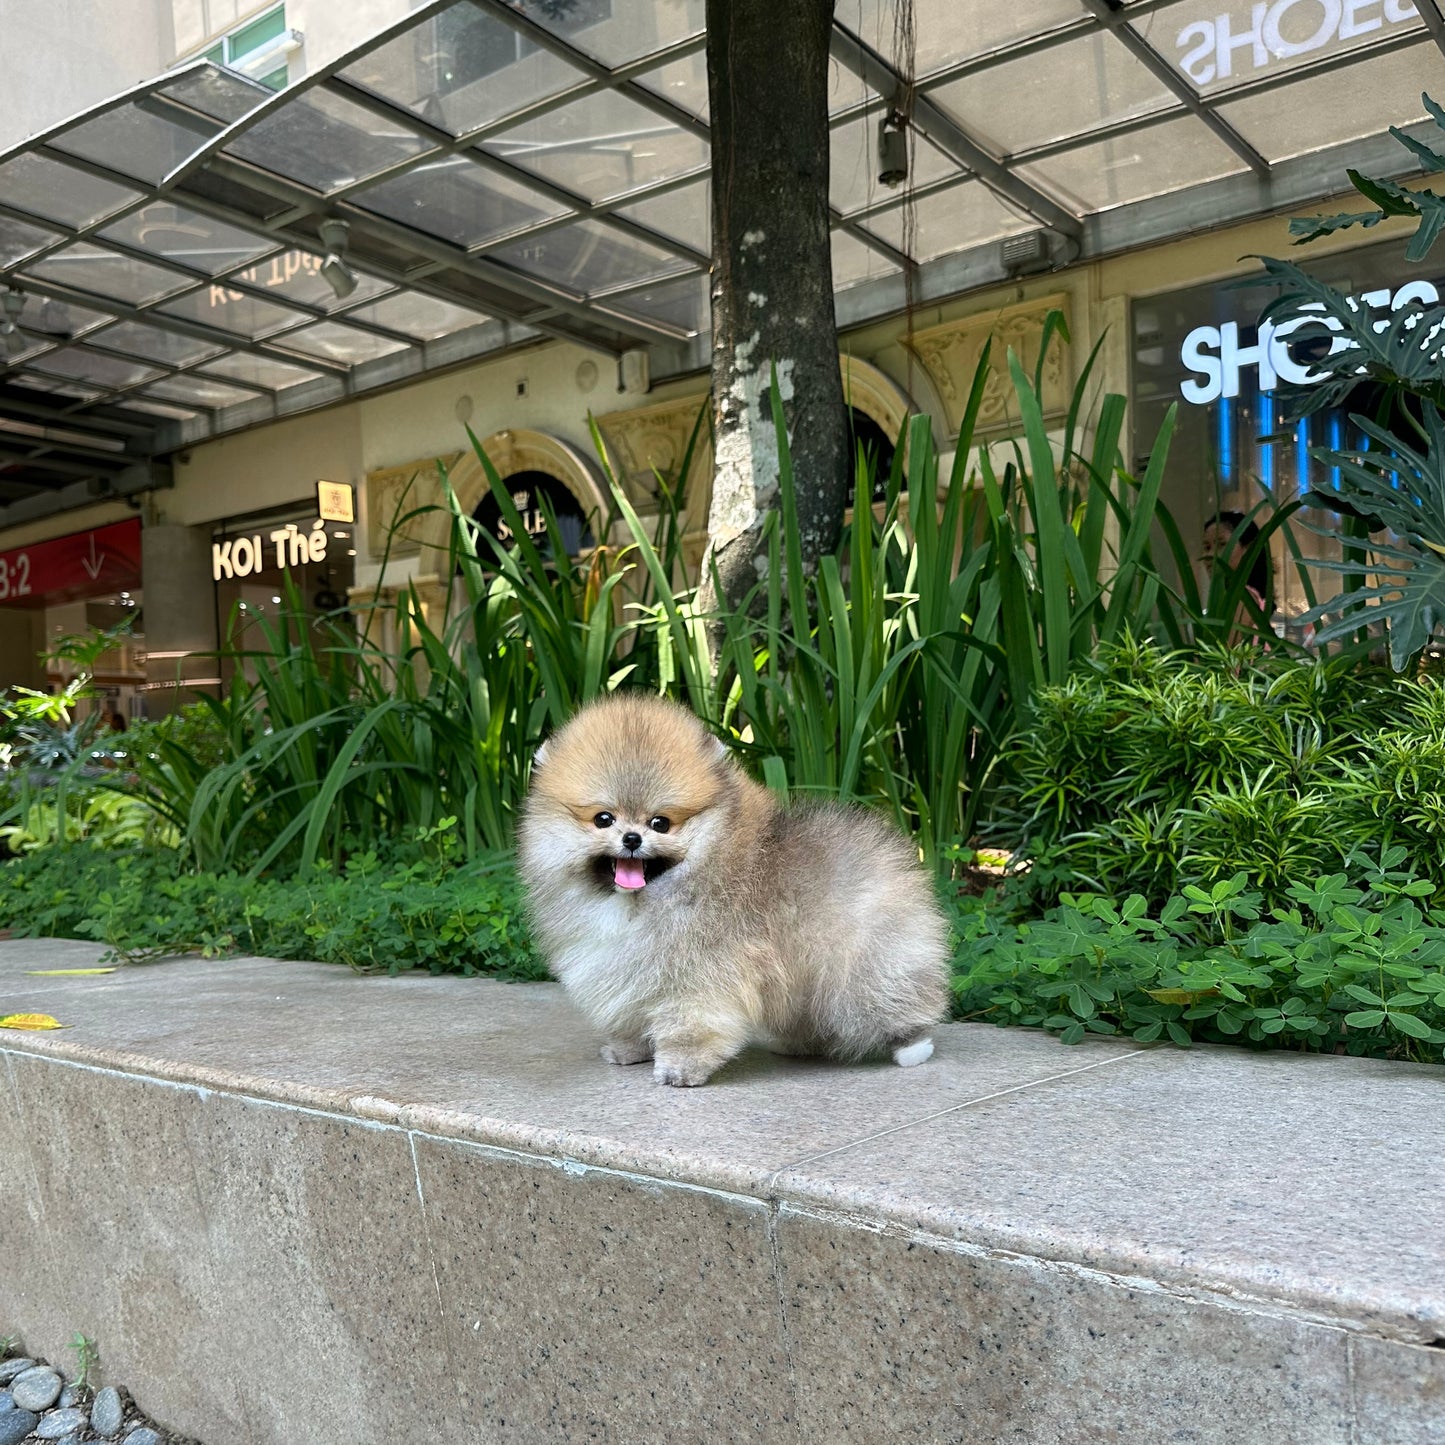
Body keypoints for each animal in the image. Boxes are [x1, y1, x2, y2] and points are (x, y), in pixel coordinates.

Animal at [517, 693, 947, 1086]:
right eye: (603, 819)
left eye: (661, 823)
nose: (632, 838)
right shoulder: (629, 970)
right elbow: (632, 1016)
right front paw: (629, 1051)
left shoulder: (698, 974)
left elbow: (690, 1024)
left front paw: (679, 1069)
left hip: (865, 967)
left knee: (893, 998)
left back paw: (913, 1046)